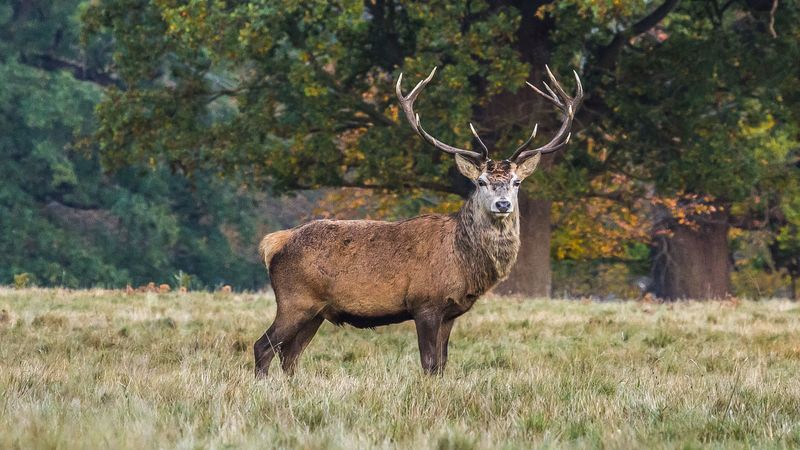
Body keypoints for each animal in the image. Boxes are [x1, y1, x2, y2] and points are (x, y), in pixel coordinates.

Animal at [255, 66, 582, 377]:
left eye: (516, 182)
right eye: (481, 182)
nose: (503, 204)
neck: (463, 261)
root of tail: (273, 243)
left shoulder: (450, 312)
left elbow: (442, 364)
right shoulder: (425, 303)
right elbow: (428, 362)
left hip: (317, 311)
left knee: (289, 355)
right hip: (295, 300)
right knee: (264, 346)